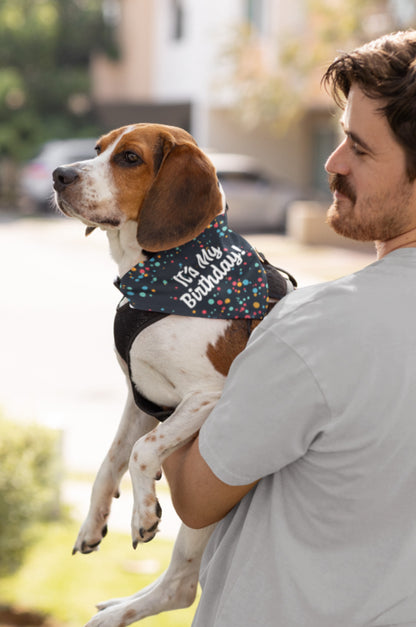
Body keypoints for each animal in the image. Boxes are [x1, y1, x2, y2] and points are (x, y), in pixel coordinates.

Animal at [52, 124, 292, 627]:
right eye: (97, 149)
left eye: (129, 158)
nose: (59, 174)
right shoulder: (140, 396)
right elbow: (112, 458)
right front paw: (94, 521)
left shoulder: (209, 396)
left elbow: (142, 451)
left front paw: (142, 513)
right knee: (179, 584)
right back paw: (115, 609)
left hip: (205, 509)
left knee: (182, 587)